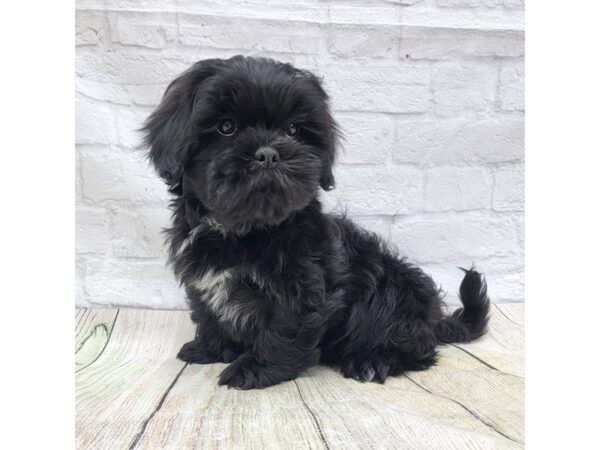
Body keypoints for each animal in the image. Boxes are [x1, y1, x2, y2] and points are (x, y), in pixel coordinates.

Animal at [143, 54, 490, 388]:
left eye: (293, 131)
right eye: (226, 127)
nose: (268, 154)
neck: (243, 229)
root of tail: (432, 320)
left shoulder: (301, 285)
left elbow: (284, 326)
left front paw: (256, 369)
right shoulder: (202, 278)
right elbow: (208, 313)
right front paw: (211, 348)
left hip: (394, 295)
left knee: (416, 347)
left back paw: (373, 360)